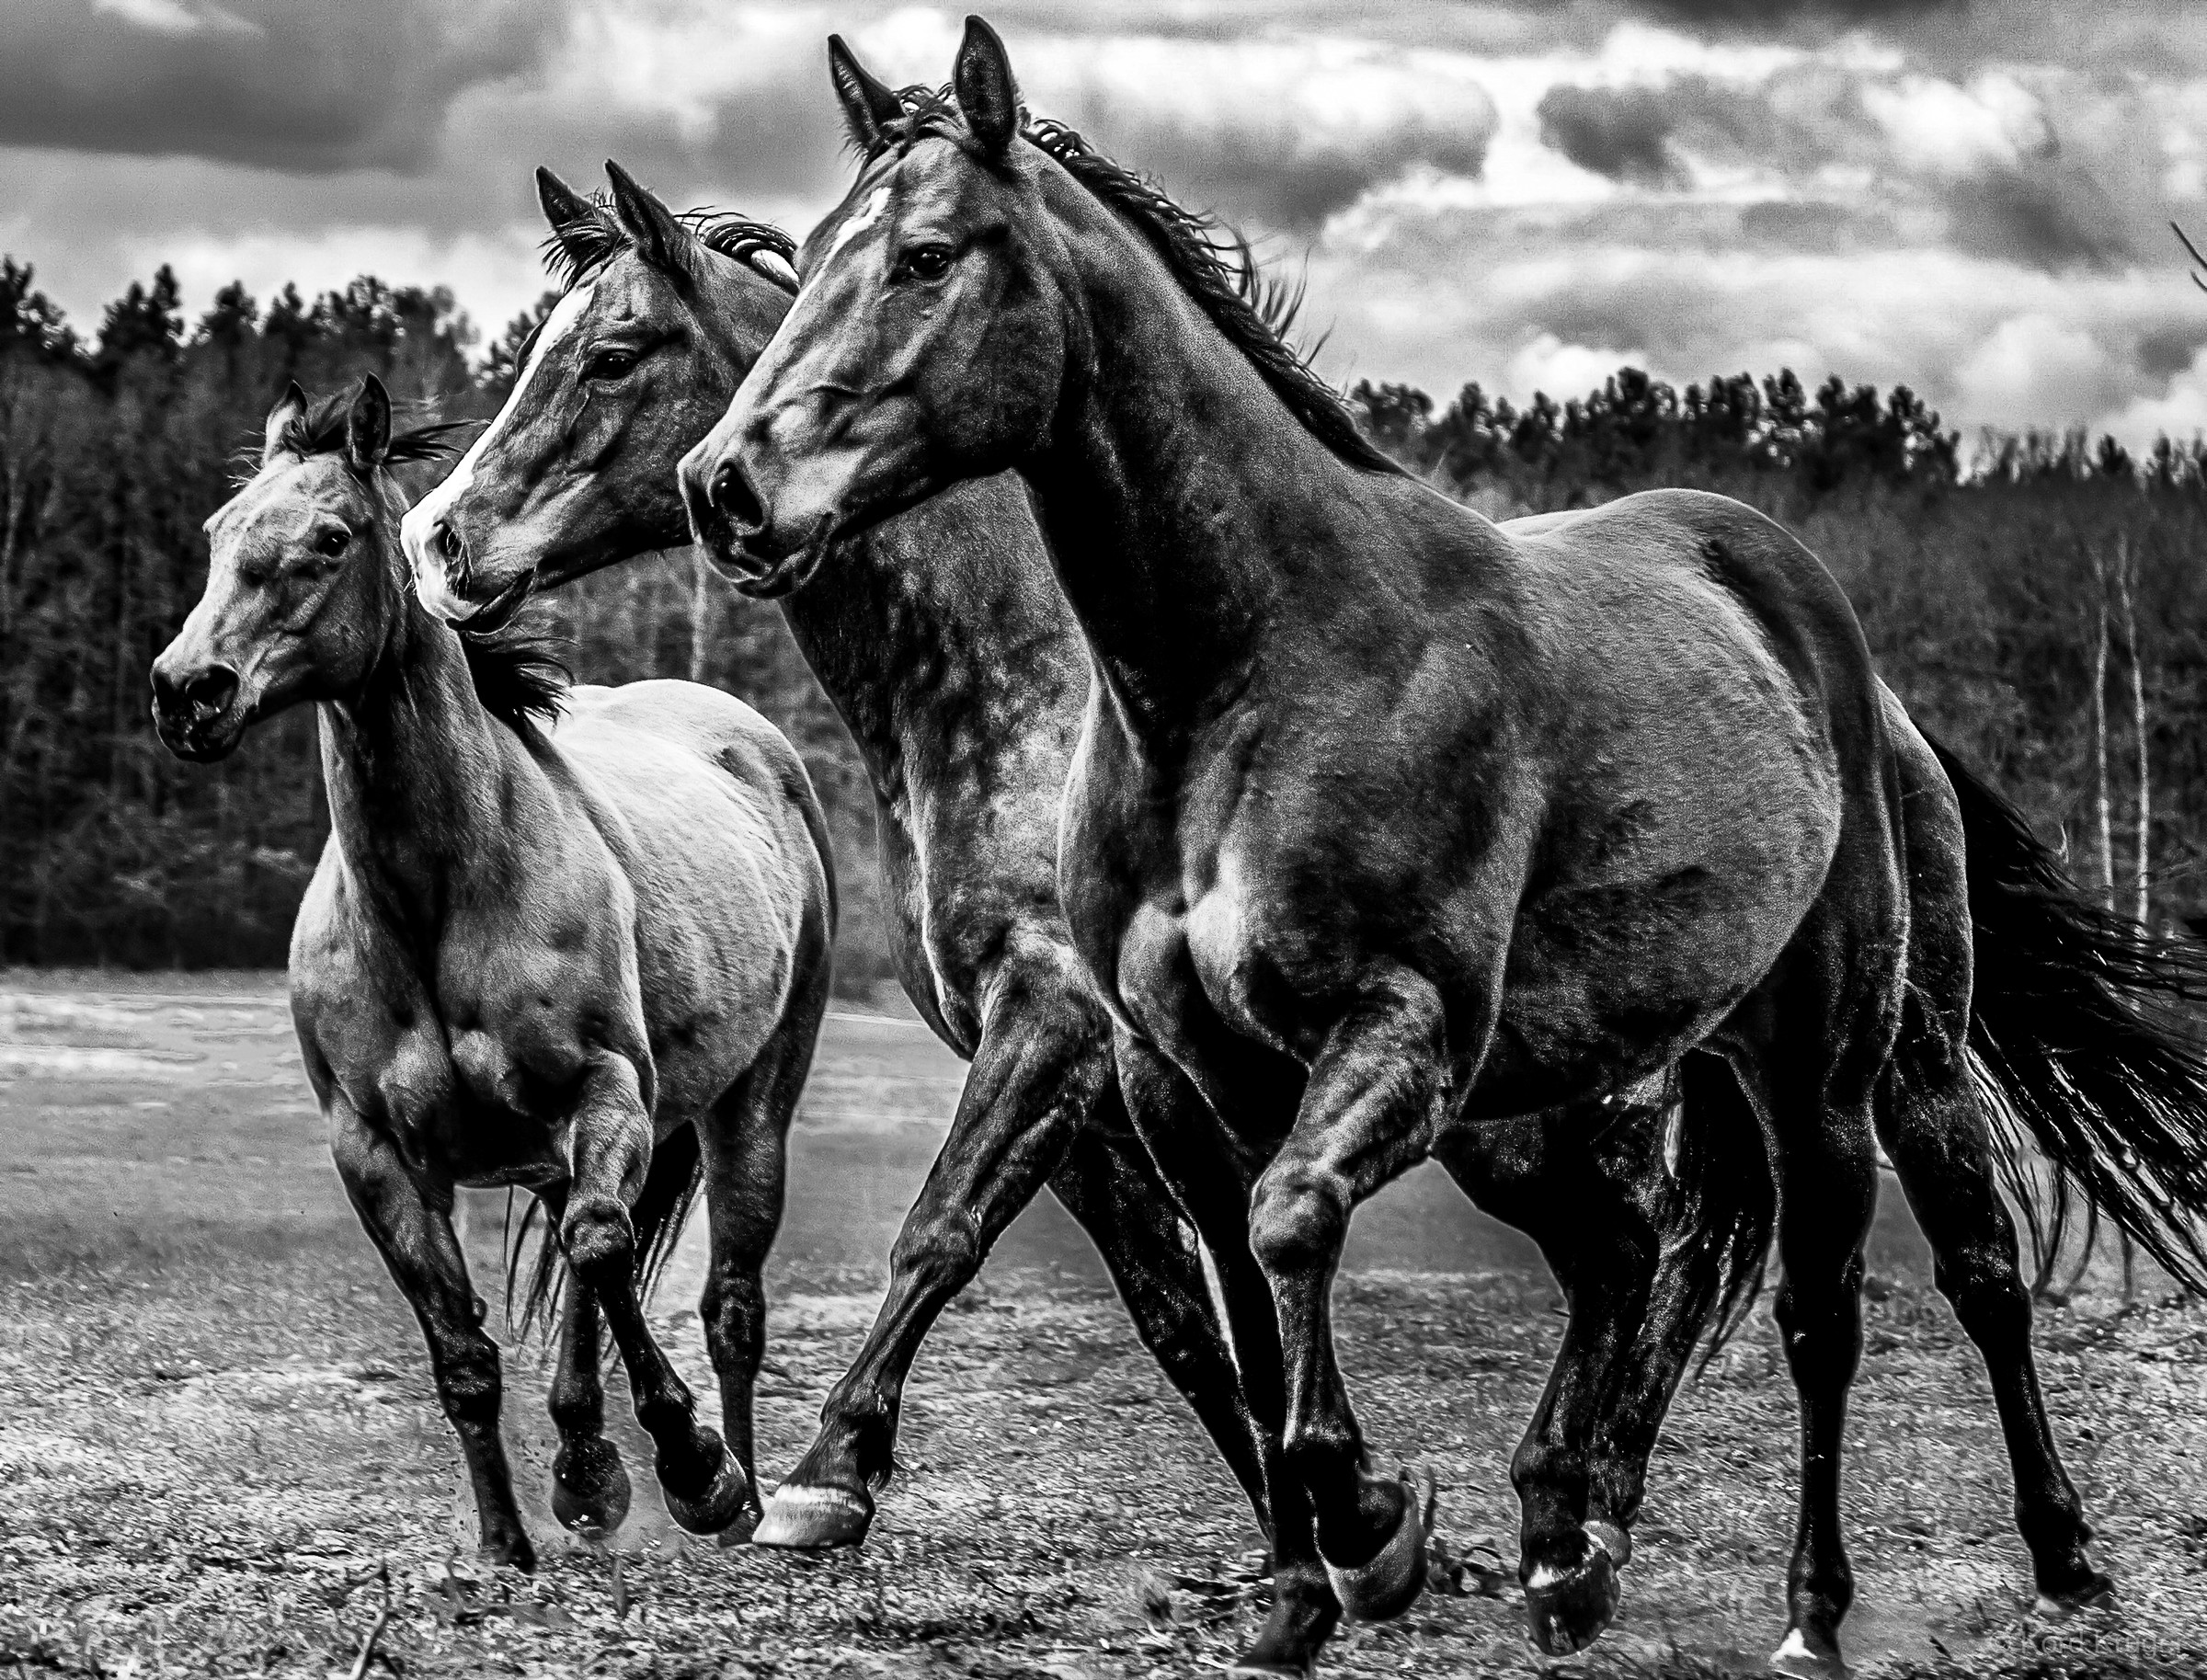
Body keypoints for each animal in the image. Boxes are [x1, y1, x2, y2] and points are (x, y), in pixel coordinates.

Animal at [150, 375, 835, 1569]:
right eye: (217, 534)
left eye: (332, 538)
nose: (189, 690)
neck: (434, 903)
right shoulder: (376, 1157)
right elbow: (466, 1355)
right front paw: (506, 1541)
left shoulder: (607, 1092)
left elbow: (604, 1249)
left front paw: (694, 1469)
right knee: (584, 1275)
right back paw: (588, 1474)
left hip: (750, 1111)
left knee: (723, 1303)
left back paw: (737, 1495)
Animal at [396, 160, 1771, 1671]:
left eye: (613, 353)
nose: (438, 539)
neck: (1035, 691)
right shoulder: (1108, 1109)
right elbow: (1190, 1330)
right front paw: (1319, 1545)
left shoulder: (1050, 1022)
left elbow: (940, 1231)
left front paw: (824, 1477)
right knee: (1618, 1261)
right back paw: (1562, 1536)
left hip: (1526, 1116)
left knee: (1635, 1253)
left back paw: (1582, 1534)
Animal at [679, 19, 2207, 1673]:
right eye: (813, 255)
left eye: (927, 256)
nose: (726, 485)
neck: (1250, 674)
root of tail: (1844, 656)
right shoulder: (1177, 1082)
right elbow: (1244, 1306)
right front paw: (1301, 1588)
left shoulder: (1400, 1032)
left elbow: (1293, 1227)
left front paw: (1375, 1531)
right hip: (1638, 1079)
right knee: (1643, 1261)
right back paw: (1575, 1553)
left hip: (1851, 1067)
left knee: (1880, 1294)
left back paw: (1890, 1588)